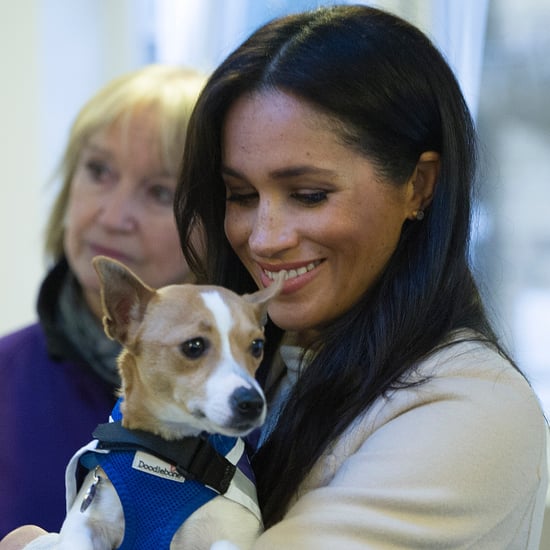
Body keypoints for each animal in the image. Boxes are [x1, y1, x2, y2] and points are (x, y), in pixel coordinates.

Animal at [24, 258, 286, 550]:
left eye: (257, 346)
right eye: (194, 346)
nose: (252, 402)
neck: (168, 450)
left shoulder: (231, 536)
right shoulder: (85, 524)